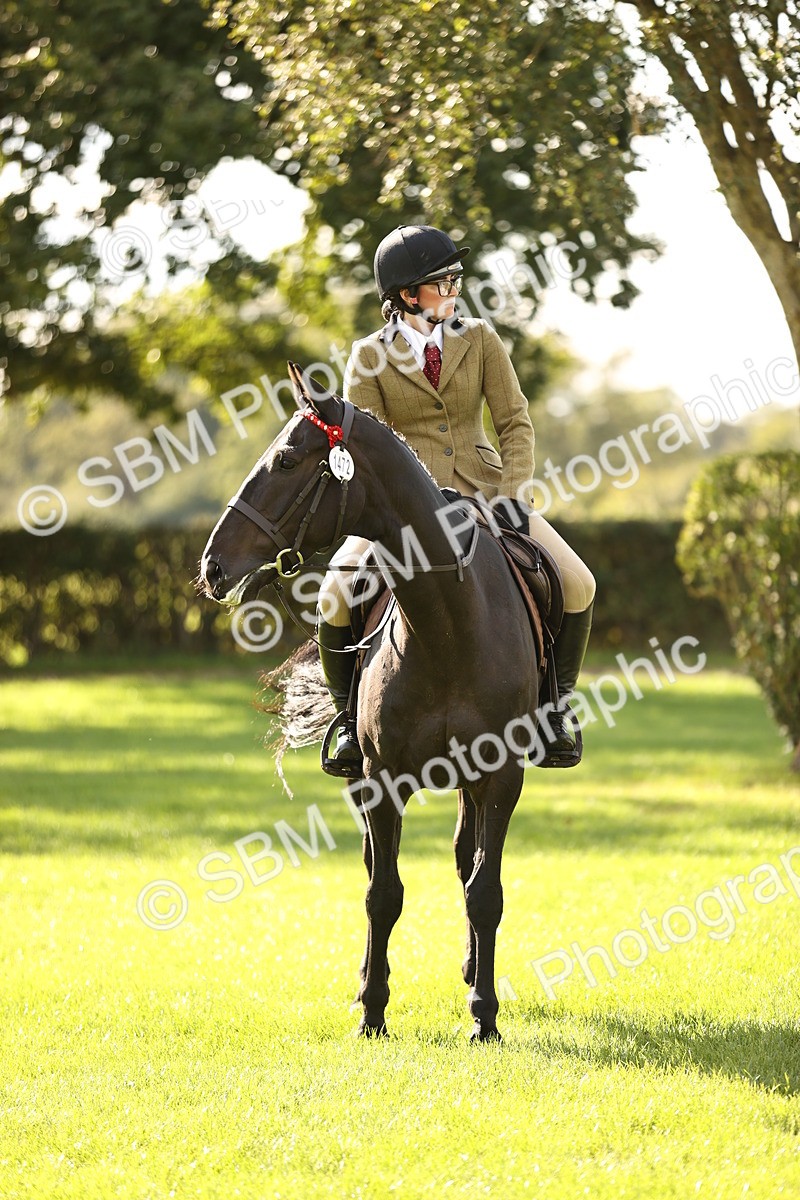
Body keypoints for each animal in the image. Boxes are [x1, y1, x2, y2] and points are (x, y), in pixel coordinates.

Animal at [200, 363, 544, 1041]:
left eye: (286, 460)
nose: (212, 565)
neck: (446, 622)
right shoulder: (383, 780)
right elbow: (383, 893)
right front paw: (373, 1011)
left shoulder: (500, 777)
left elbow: (484, 892)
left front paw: (484, 1017)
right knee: (376, 868)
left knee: (466, 862)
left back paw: (472, 973)